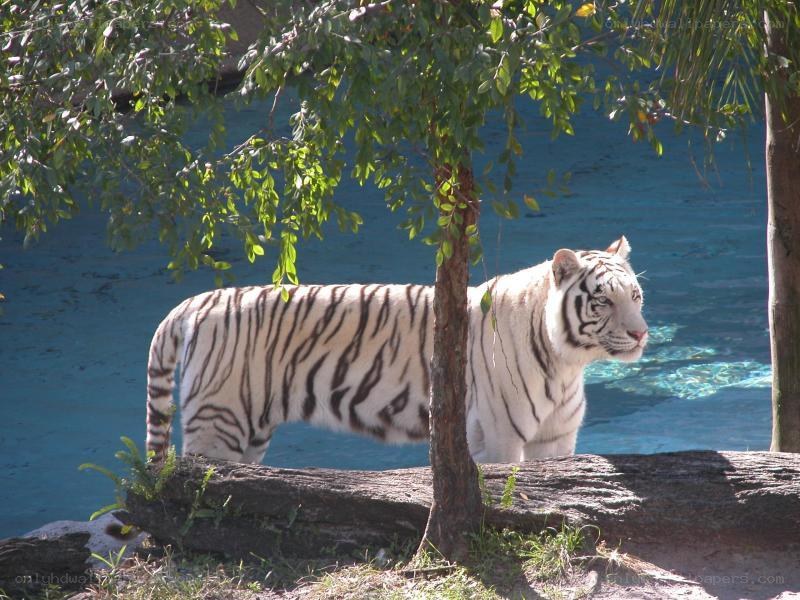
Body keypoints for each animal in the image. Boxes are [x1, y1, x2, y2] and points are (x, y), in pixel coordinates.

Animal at [145, 236, 647, 464]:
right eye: (603, 300)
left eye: (636, 296)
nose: (642, 334)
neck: (568, 363)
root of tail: (196, 300)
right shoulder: (499, 439)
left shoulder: (556, 441)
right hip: (220, 424)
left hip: (250, 431)